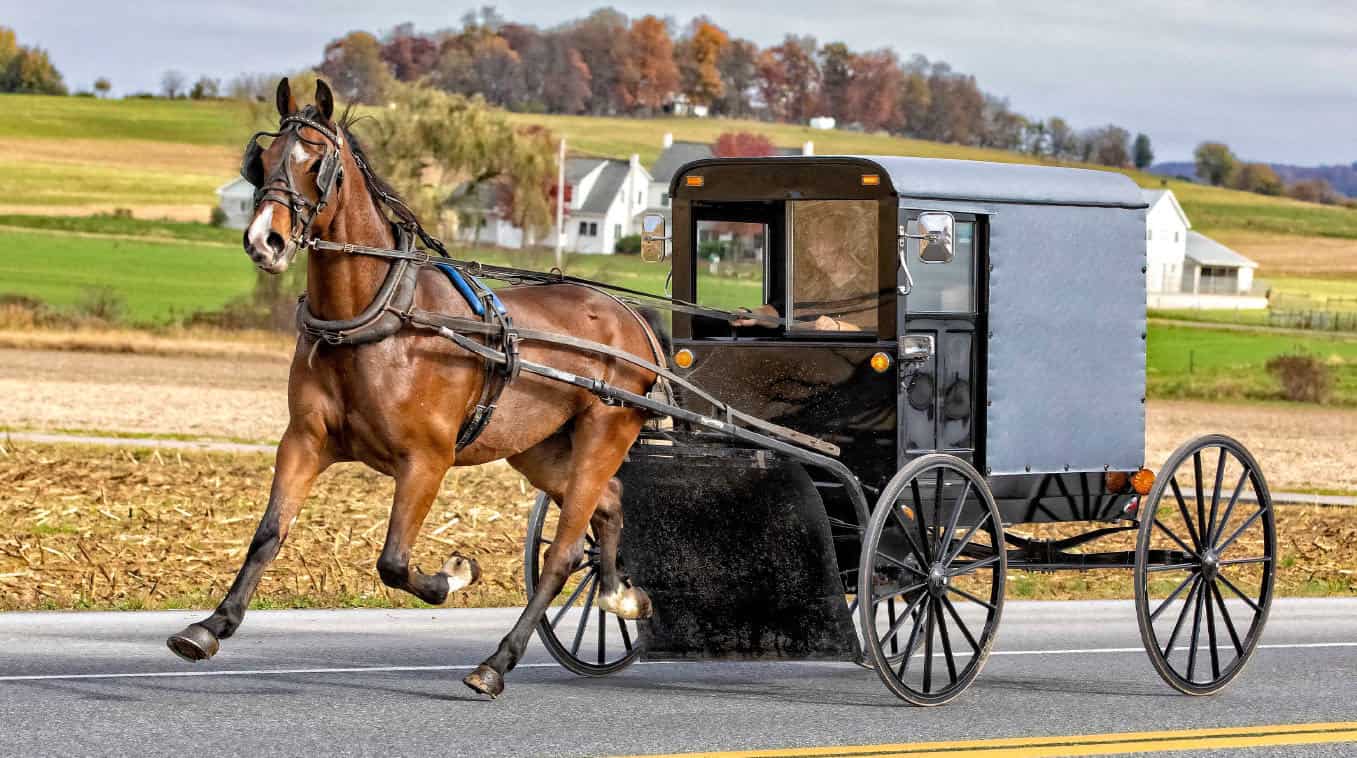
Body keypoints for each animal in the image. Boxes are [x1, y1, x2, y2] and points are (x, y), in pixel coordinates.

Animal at [168, 78, 656, 699]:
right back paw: (619, 594)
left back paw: (496, 663)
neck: (379, 317)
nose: (265, 240)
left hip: (603, 431)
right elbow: (270, 532)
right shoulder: (304, 440)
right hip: (539, 448)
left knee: (564, 551)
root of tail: (634, 319)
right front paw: (211, 625)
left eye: (318, 163)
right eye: (264, 159)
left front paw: (454, 575)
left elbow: (395, 562)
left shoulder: (427, 460)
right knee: (608, 506)